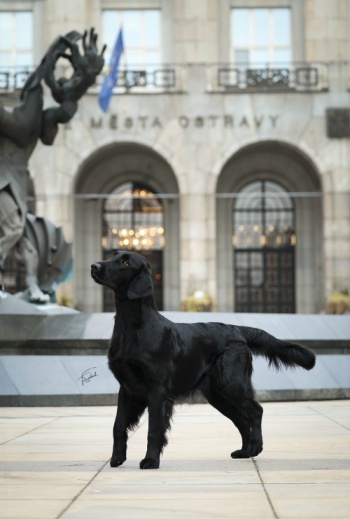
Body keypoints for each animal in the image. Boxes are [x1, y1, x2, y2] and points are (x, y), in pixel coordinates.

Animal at [91, 252, 316, 472]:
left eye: (125, 261)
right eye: (113, 255)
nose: (94, 266)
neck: (133, 328)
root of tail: (237, 330)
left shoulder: (157, 390)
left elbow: (154, 429)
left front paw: (150, 461)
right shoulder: (127, 388)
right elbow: (118, 425)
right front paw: (117, 458)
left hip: (231, 384)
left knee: (255, 412)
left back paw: (256, 447)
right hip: (217, 394)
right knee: (242, 420)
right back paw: (244, 451)